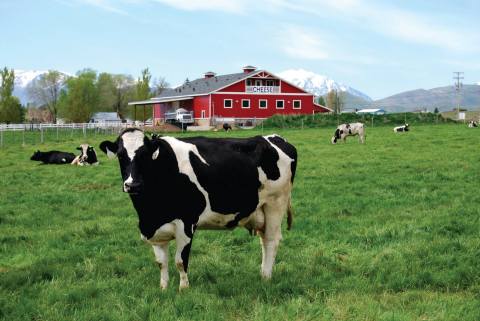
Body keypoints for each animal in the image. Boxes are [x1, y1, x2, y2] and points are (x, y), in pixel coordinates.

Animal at [99, 127, 296, 290]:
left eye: (145, 155)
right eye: (120, 155)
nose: (133, 185)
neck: (151, 211)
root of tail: (274, 138)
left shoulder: (185, 223)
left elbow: (180, 261)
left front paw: (183, 289)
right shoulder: (154, 229)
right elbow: (161, 262)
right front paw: (163, 288)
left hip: (275, 203)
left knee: (271, 240)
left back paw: (266, 278)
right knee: (264, 240)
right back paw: (263, 274)